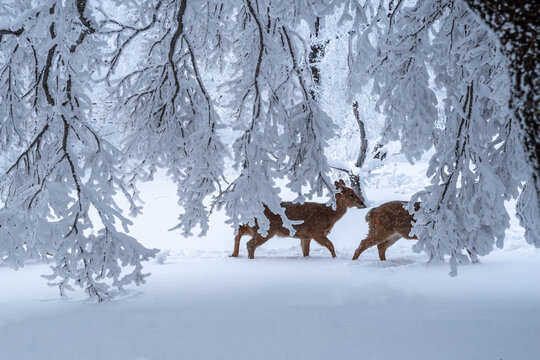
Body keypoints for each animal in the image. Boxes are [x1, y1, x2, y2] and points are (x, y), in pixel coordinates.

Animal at [230, 179, 364, 258]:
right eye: (352, 195)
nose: (362, 202)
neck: (327, 215)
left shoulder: (306, 236)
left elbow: (306, 252)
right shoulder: (316, 231)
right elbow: (330, 245)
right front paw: (335, 258)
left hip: (254, 226)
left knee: (239, 231)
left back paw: (234, 254)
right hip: (266, 229)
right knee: (250, 243)